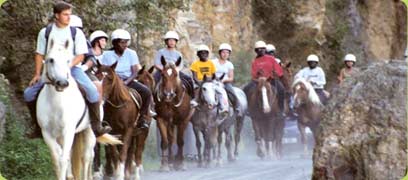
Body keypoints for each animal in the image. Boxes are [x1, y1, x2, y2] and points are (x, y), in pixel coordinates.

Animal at [36, 39, 120, 180]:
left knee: (86, 157)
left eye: (68, 60)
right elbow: (57, 159)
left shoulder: (68, 131)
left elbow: (63, 159)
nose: (62, 83)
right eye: (51, 60)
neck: (56, 102)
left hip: (89, 131)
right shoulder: (47, 133)